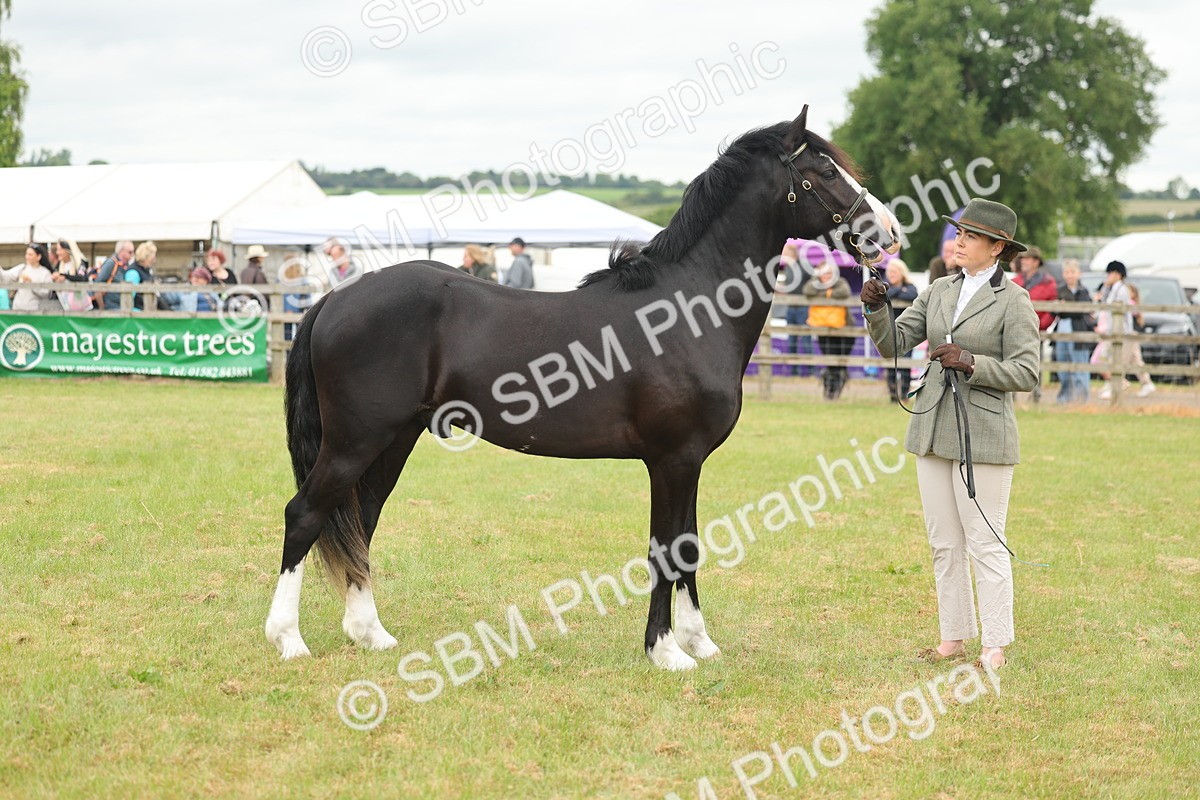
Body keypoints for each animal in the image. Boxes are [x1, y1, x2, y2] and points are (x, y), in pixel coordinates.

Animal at [265, 106, 900, 670]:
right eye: (823, 171)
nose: (889, 233)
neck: (687, 308)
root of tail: (336, 297)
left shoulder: (689, 460)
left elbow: (690, 545)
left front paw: (699, 642)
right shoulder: (672, 459)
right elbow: (667, 549)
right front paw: (666, 651)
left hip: (392, 440)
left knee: (360, 519)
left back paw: (369, 633)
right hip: (355, 441)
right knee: (305, 513)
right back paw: (289, 639)